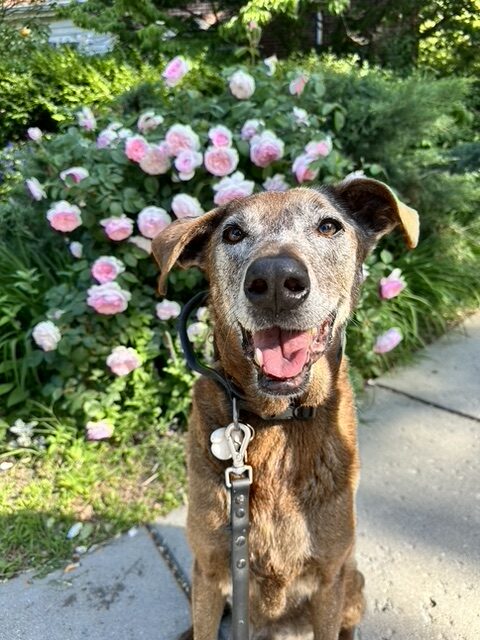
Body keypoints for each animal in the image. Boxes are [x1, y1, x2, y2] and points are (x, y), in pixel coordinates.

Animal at [152, 177, 419, 640]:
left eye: (329, 226)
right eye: (233, 233)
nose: (276, 278)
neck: (277, 422)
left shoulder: (329, 578)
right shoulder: (208, 570)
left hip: (354, 582)